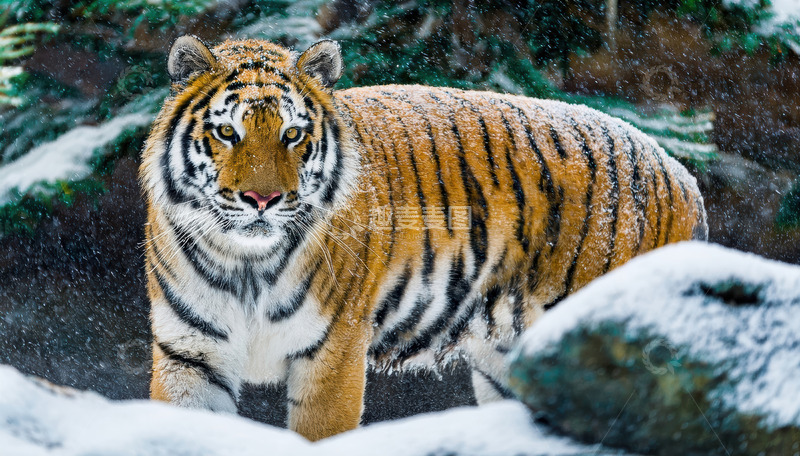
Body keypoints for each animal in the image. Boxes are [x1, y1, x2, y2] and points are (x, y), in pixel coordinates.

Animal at [140, 35, 707, 441]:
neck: (245, 262)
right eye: (227, 133)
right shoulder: (190, 353)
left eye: (293, 134)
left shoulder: (332, 352)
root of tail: (679, 172)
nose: (263, 199)